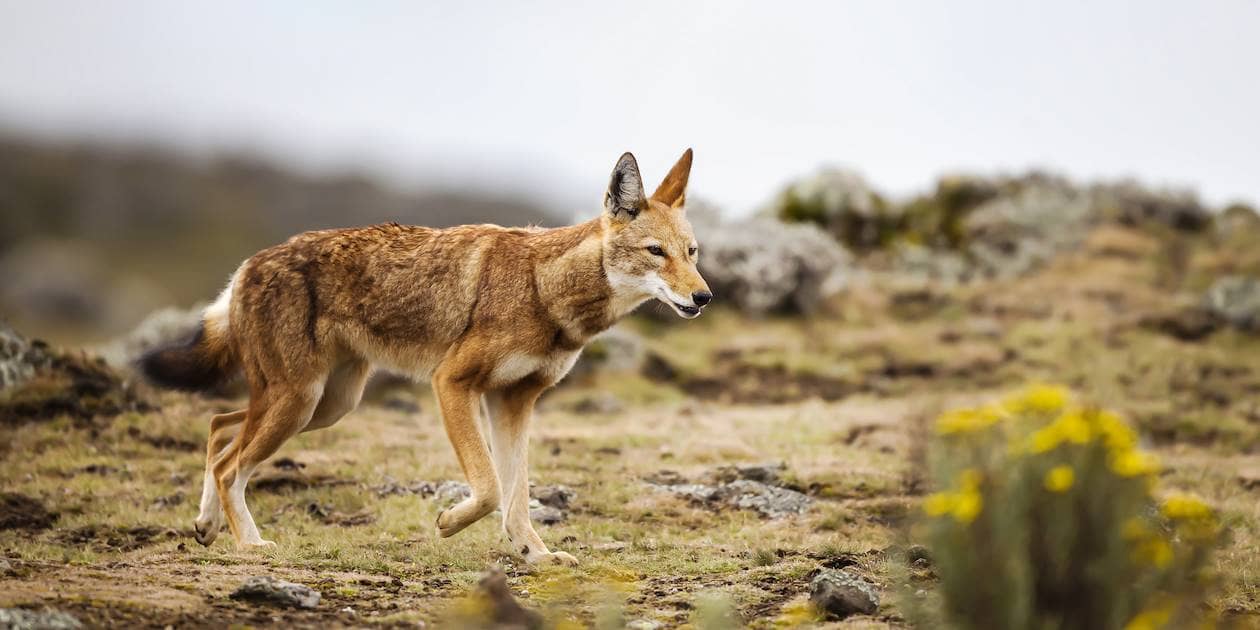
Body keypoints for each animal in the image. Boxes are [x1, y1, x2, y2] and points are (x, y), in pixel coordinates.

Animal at [140, 148, 710, 567]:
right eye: (656, 252)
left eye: (692, 252)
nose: (704, 297)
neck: (541, 288)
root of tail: (247, 266)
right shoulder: (453, 384)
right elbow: (490, 489)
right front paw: (449, 523)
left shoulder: (514, 401)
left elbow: (517, 495)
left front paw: (535, 555)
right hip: (299, 403)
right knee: (230, 463)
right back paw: (249, 544)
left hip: (326, 405)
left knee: (219, 428)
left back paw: (207, 526)